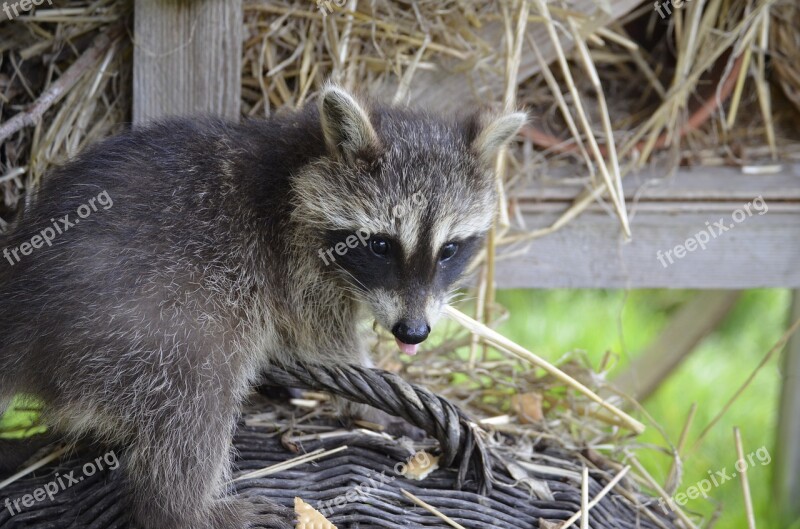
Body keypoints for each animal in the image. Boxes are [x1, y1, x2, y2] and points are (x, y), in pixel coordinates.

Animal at [0, 84, 524, 524]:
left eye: (450, 249)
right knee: (197, 391)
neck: (302, 159)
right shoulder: (294, 262)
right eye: (381, 245)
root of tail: (21, 312)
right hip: (146, 318)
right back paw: (182, 508)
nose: (412, 333)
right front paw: (372, 403)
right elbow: (324, 342)